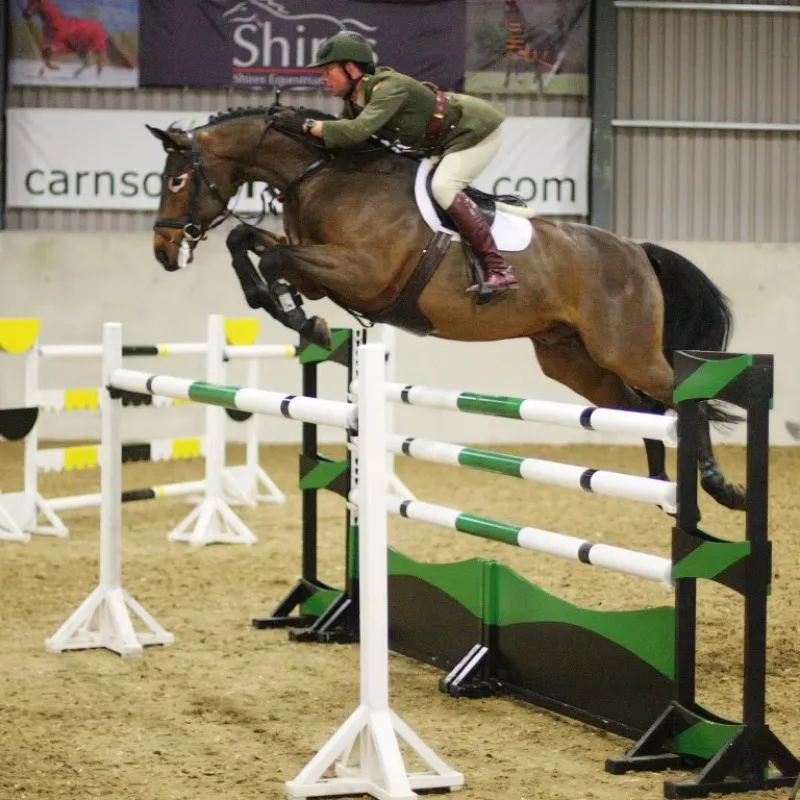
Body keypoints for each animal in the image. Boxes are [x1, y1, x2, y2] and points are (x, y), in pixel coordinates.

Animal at [146, 103, 746, 513]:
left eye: (177, 179)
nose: (163, 251)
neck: (322, 174)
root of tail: (636, 249)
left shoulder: (360, 273)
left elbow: (264, 254)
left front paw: (301, 320)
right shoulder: (319, 270)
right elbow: (245, 242)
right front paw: (292, 313)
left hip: (625, 350)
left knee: (682, 399)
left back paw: (720, 488)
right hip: (573, 360)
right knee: (643, 410)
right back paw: (659, 489)